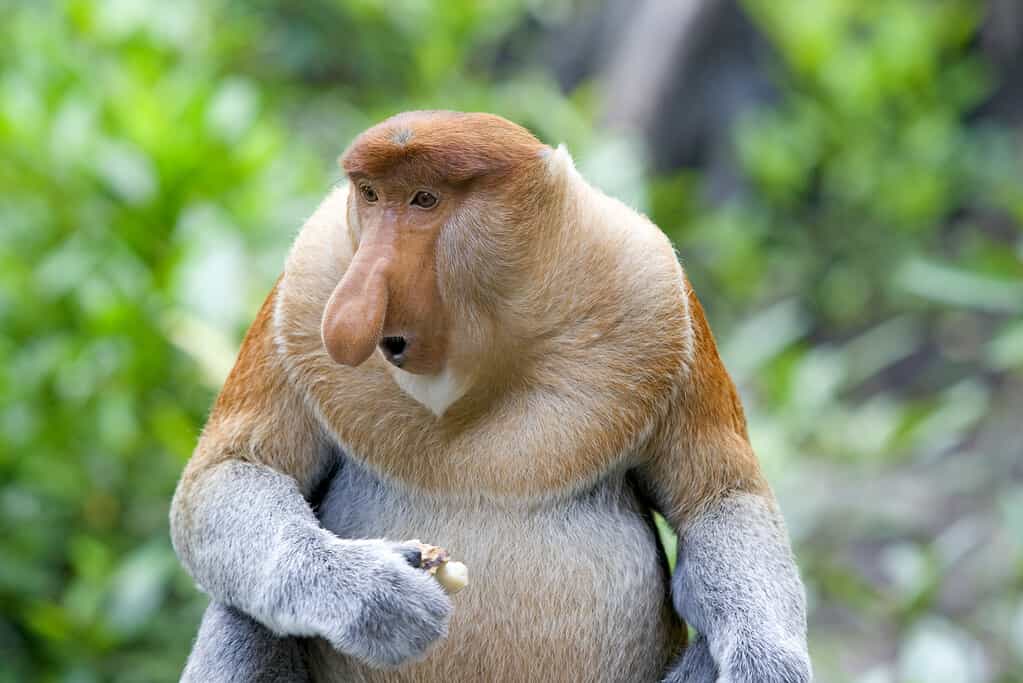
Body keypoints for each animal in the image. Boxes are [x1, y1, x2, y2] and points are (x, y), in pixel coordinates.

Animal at [171, 109, 810, 678]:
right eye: (371, 196)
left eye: (424, 200)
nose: (347, 316)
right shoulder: (308, 281)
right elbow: (229, 473)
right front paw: (375, 595)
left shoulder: (654, 288)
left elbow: (720, 499)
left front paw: (767, 664)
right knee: (244, 613)